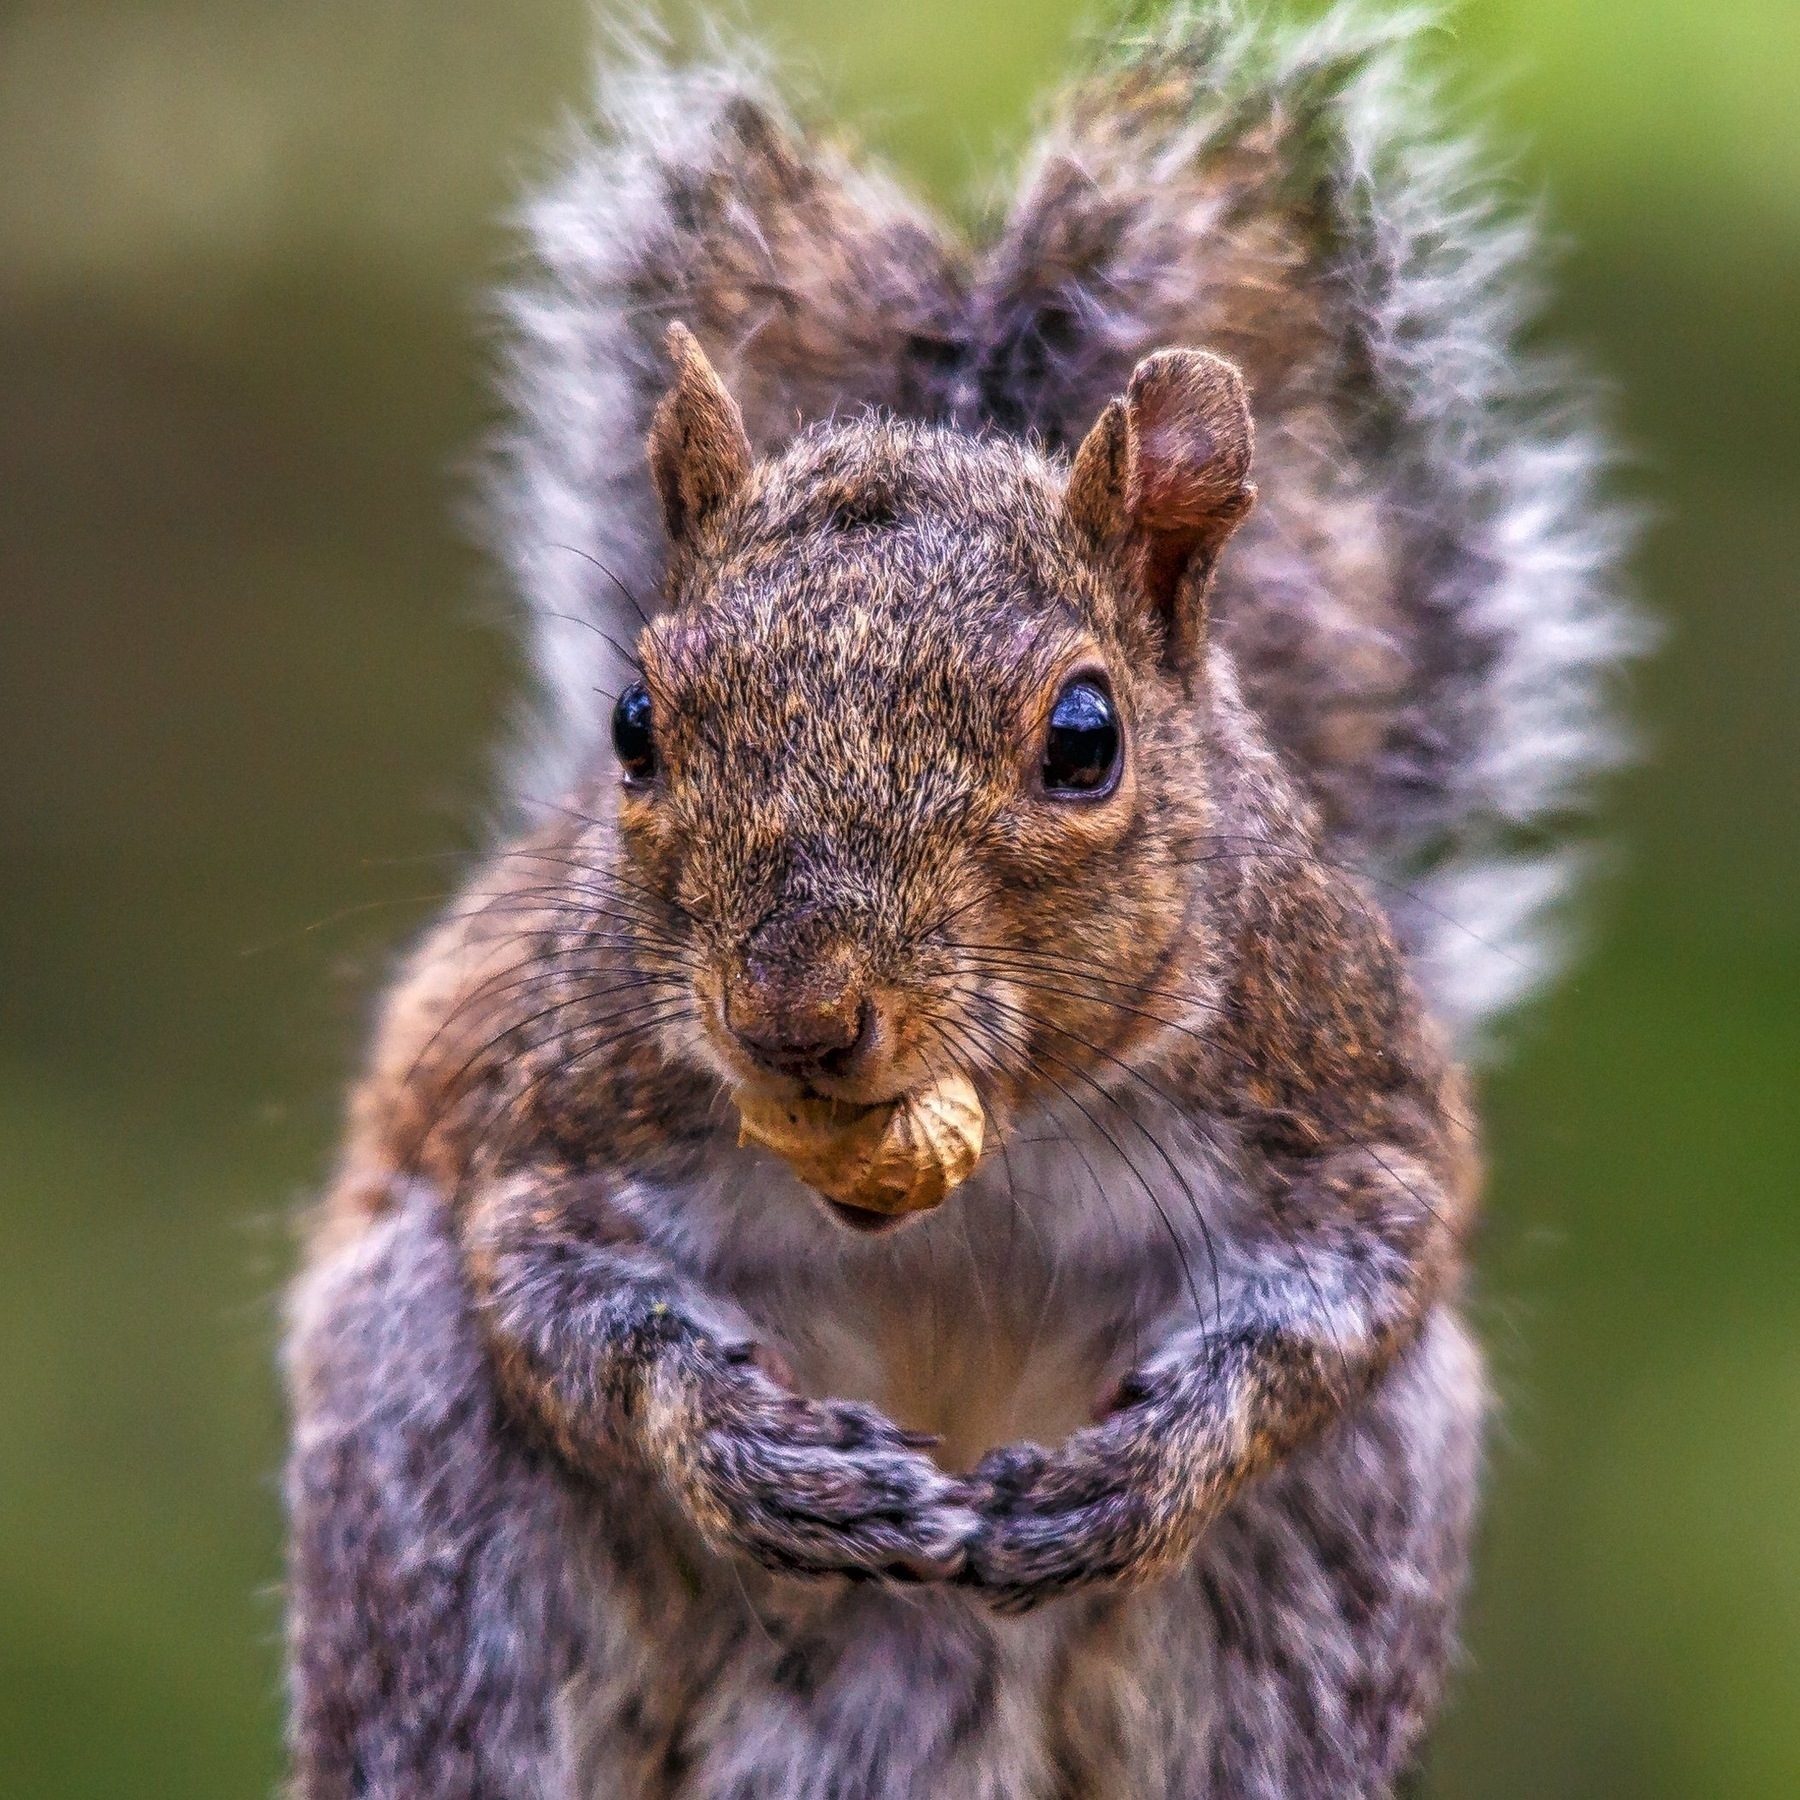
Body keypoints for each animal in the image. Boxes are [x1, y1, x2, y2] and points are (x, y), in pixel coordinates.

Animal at [277, 7, 1634, 1792]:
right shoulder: (558, 1111)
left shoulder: (1338, 1087)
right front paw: (752, 1457)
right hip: (431, 1504)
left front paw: (1148, 1471)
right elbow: (565, 1303)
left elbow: (1356, 1283)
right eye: (634, 723)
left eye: (1086, 739)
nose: (794, 1018)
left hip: (1333, 1559)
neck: (980, 1159)